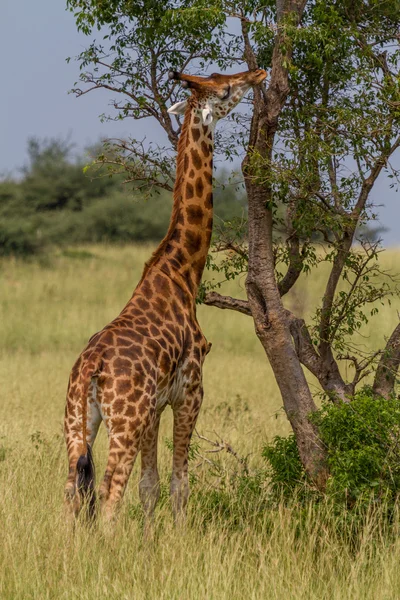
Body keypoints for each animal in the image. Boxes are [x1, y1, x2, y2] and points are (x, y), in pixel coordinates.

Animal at [64, 67, 268, 524]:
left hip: (76, 420)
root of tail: (90, 369)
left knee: (71, 491)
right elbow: (179, 483)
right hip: (124, 420)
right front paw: (176, 535)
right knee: (108, 494)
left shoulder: (156, 406)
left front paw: (151, 538)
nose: (258, 72)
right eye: (225, 90)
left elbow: (149, 485)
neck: (180, 272)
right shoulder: (189, 391)